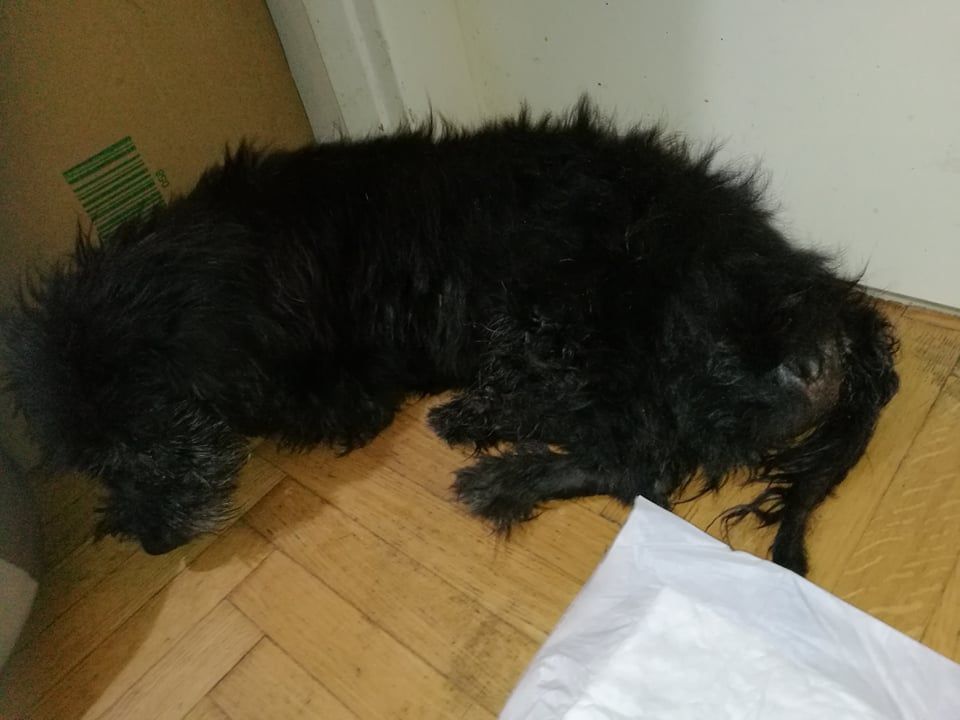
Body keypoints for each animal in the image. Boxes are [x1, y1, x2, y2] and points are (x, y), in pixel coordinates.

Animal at [1, 100, 898, 574]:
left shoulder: (346, 395)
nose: (150, 544)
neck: (240, 258)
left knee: (635, 460)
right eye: (86, 461)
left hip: (591, 322)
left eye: (137, 445)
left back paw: (501, 472)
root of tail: (823, 300)